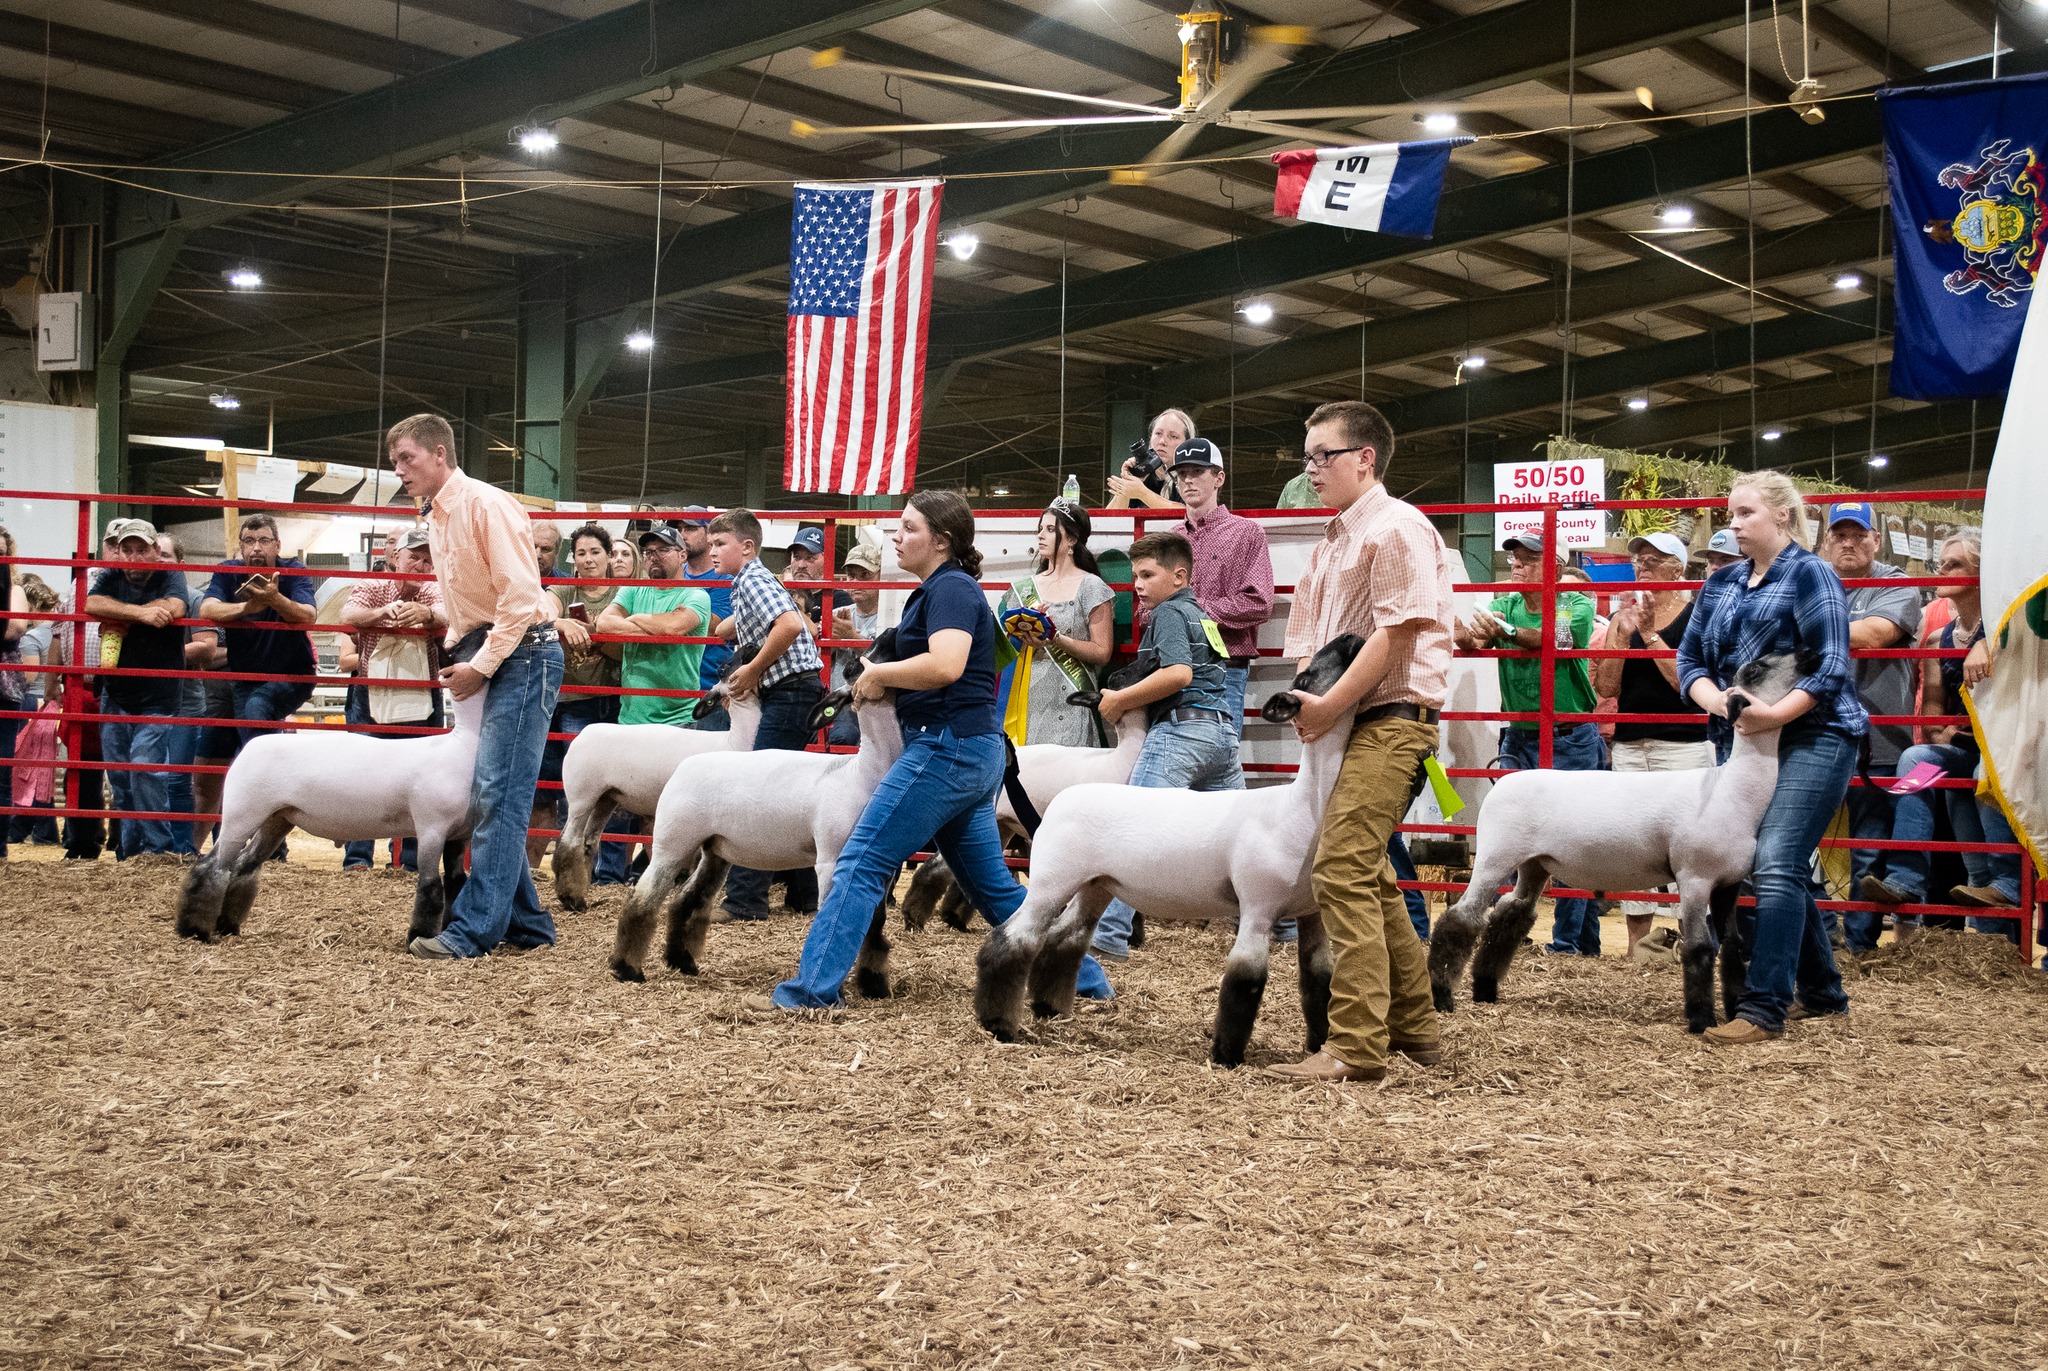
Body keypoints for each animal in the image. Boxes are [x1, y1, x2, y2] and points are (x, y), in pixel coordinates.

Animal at [548, 651, 765, 909]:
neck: (733, 740)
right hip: (582, 795)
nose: (752, 646)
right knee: (568, 842)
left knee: (588, 842)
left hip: (606, 798)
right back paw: (572, 899)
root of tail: (584, 733)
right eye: (723, 668)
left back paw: (581, 893)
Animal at [602, 631, 901, 983]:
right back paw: (627, 969)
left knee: (685, 900)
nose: (889, 632)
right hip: (673, 841)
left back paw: (683, 962)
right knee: (643, 900)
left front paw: (874, 984)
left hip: (714, 849)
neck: (860, 773)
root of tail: (684, 767)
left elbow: (875, 925)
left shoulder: (881, 865)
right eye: (855, 666)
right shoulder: (830, 857)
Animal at [901, 663, 1155, 930]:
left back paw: (949, 918)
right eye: (1121, 675)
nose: (1154, 660)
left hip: (999, 825)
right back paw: (916, 918)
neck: (1120, 758)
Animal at [966, 635, 1368, 1065]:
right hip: (1052, 880)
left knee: (1065, 939)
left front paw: (1320, 1044)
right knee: (1011, 940)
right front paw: (1226, 1056)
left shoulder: (1312, 913)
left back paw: (1050, 1009)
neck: (1301, 807)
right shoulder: (1258, 907)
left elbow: (1320, 980)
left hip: (1097, 884)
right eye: (1306, 677)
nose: (1351, 638)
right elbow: (1244, 984)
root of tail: (1061, 800)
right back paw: (1000, 1025)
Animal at [1425, 647, 1810, 1032]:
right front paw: (1701, 1020)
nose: (1809, 653)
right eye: (1758, 667)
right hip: (1495, 857)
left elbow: (1733, 944)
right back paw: (1442, 996)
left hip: (1534, 864)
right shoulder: (1695, 878)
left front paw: (1733, 1011)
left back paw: (1485, 989)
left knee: (1509, 915)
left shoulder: (1728, 882)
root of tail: (1502, 781)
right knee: (1459, 918)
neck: (1730, 789)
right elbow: (1699, 948)